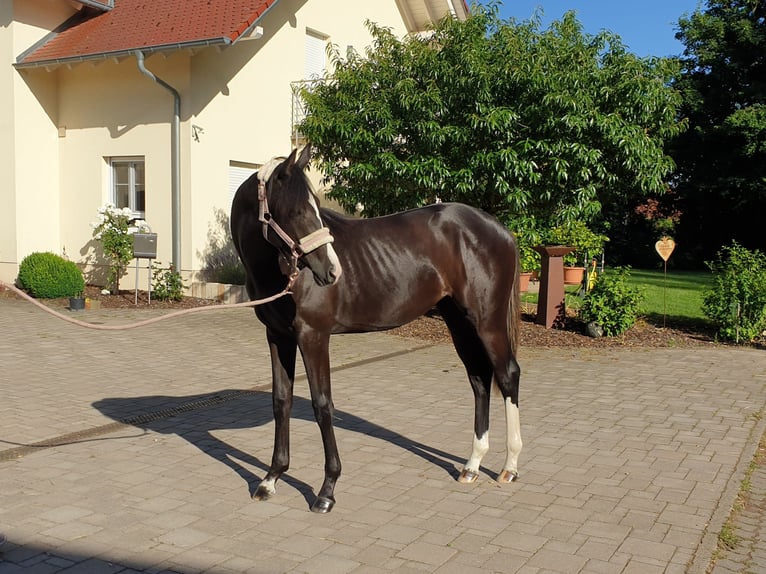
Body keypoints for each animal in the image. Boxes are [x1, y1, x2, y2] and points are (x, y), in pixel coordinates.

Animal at [231, 146, 524, 516]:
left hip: (488, 321)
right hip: (459, 322)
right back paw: (472, 465)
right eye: (296, 211)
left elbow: (322, 404)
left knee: (507, 374)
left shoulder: (313, 336)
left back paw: (509, 467)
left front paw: (326, 491)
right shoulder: (277, 336)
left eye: (315, 207)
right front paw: (270, 479)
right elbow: (281, 401)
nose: (332, 271)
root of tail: (500, 229)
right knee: (479, 379)